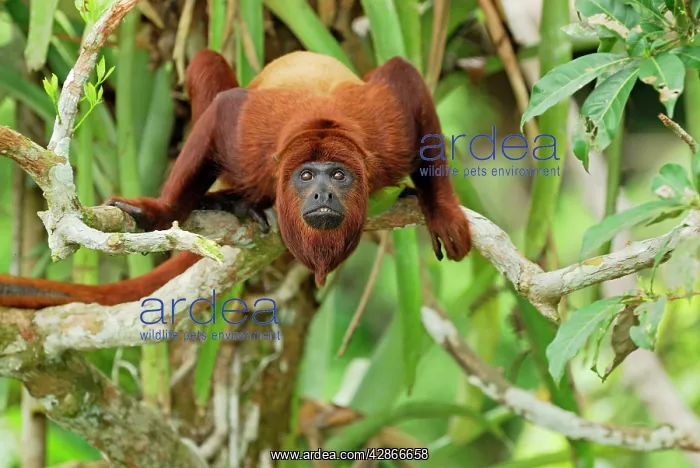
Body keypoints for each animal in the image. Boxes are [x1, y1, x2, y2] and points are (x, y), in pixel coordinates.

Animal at [0, 49, 472, 309]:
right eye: (306, 176)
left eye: (339, 175)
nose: (322, 193)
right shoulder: (251, 143)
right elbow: (223, 111)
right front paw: (161, 210)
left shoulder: (386, 137)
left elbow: (403, 78)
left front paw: (442, 211)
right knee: (205, 63)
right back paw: (231, 200)